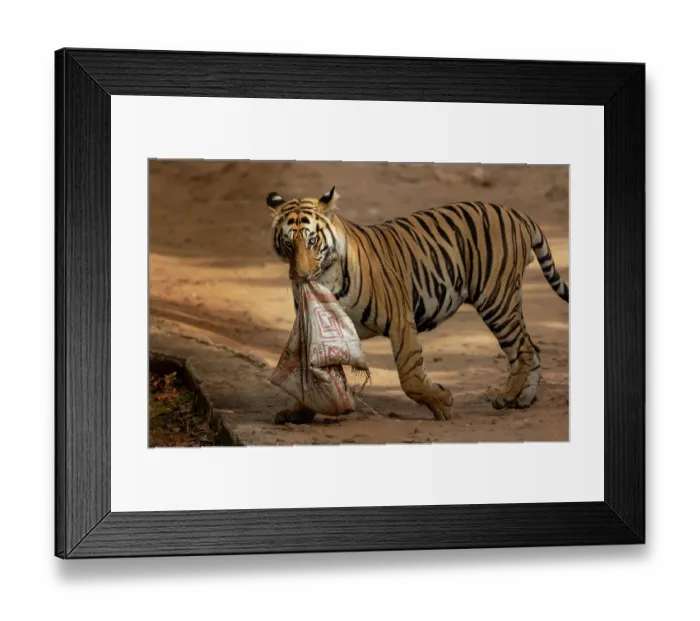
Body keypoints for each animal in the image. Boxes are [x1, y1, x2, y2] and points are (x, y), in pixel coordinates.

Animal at [267, 186, 569, 425]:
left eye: (312, 241)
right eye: (288, 244)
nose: (300, 276)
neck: (326, 278)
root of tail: (516, 213)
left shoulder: (400, 318)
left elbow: (409, 375)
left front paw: (442, 402)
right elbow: (309, 372)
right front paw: (300, 411)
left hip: (496, 300)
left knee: (524, 349)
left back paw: (506, 397)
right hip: (510, 299)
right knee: (533, 347)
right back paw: (523, 399)